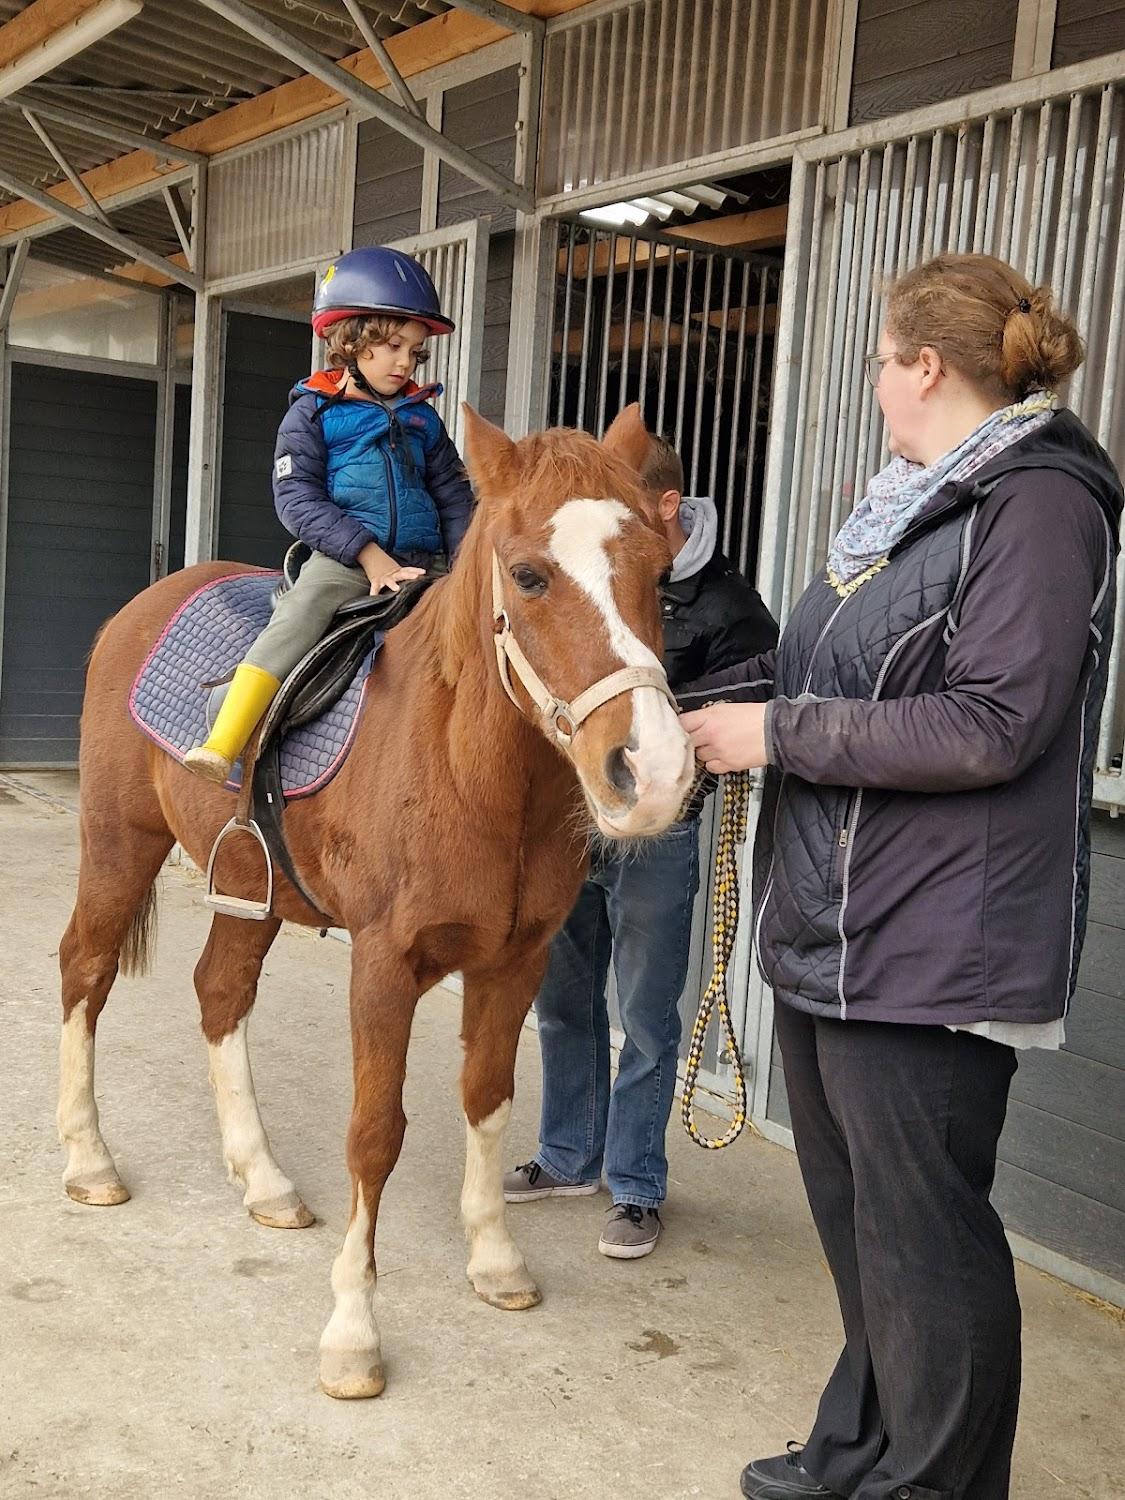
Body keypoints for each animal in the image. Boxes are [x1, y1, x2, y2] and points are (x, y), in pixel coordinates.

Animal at [61, 408, 702, 1392]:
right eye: (529, 575)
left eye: (660, 576)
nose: (655, 772)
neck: (468, 767)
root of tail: (149, 602)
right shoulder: (384, 963)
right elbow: (374, 1134)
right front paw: (352, 1332)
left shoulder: (516, 961)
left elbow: (488, 1098)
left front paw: (495, 1262)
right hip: (117, 844)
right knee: (85, 971)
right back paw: (89, 1160)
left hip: (249, 886)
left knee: (219, 992)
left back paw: (265, 1182)